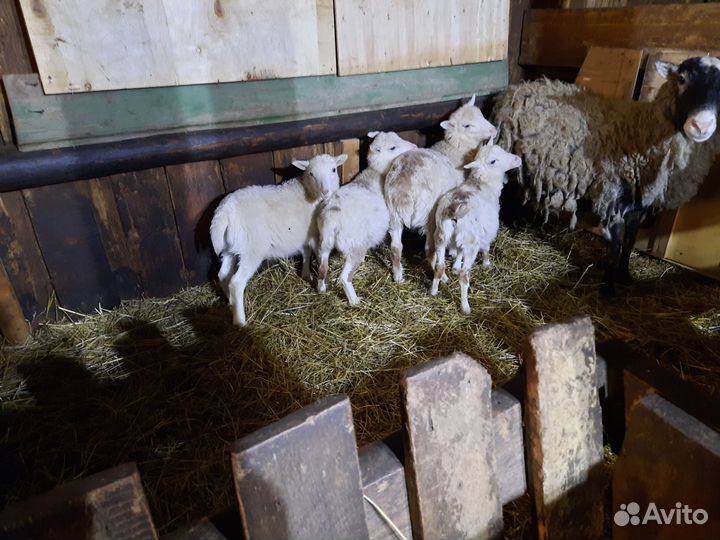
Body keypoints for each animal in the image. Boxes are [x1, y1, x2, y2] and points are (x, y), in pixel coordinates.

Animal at [210, 153, 347, 326]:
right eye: (311, 173)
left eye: (334, 169)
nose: (325, 192)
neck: (309, 192)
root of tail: (225, 211)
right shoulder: (317, 235)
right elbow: (322, 261)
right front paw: (321, 286)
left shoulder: (305, 234)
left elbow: (306, 253)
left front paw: (306, 274)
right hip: (252, 248)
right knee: (236, 282)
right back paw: (240, 321)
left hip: (229, 247)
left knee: (223, 275)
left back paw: (230, 302)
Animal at [314, 132, 418, 305]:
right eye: (393, 147)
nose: (415, 147)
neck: (377, 173)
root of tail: (332, 217)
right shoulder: (394, 222)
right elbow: (396, 248)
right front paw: (398, 275)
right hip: (355, 245)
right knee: (345, 277)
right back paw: (354, 300)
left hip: (325, 242)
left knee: (323, 267)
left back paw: (321, 288)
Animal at [384, 95, 498, 282]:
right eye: (467, 125)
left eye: (481, 115)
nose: (494, 130)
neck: (455, 150)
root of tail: (406, 184)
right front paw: (453, 253)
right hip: (429, 214)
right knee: (431, 248)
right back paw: (441, 275)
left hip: (393, 213)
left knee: (396, 247)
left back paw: (398, 275)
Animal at [429, 143, 522, 314]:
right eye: (493, 161)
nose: (518, 159)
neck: (483, 184)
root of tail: (453, 210)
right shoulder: (487, 231)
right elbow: (486, 248)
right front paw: (486, 264)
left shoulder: (462, 239)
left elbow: (459, 252)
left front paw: (455, 266)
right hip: (471, 243)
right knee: (464, 276)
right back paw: (465, 307)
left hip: (441, 236)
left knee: (439, 266)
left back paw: (433, 291)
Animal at [492, 56, 720, 294]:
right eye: (682, 78)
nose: (701, 125)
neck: (642, 130)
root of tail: (522, 86)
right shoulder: (613, 197)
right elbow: (616, 246)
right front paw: (609, 288)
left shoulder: (637, 205)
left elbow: (629, 242)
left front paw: (625, 276)